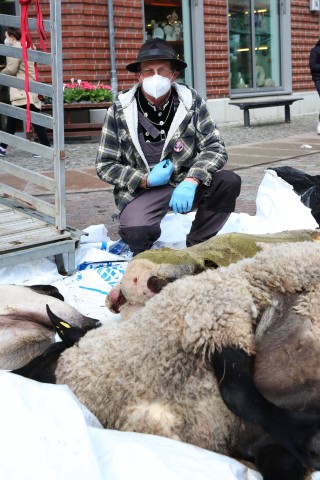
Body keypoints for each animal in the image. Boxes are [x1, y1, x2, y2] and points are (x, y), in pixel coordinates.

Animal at [14, 242, 320, 478]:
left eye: (49, 352)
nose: (14, 372)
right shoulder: (267, 448)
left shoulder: (214, 310)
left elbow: (237, 392)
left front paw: (308, 437)